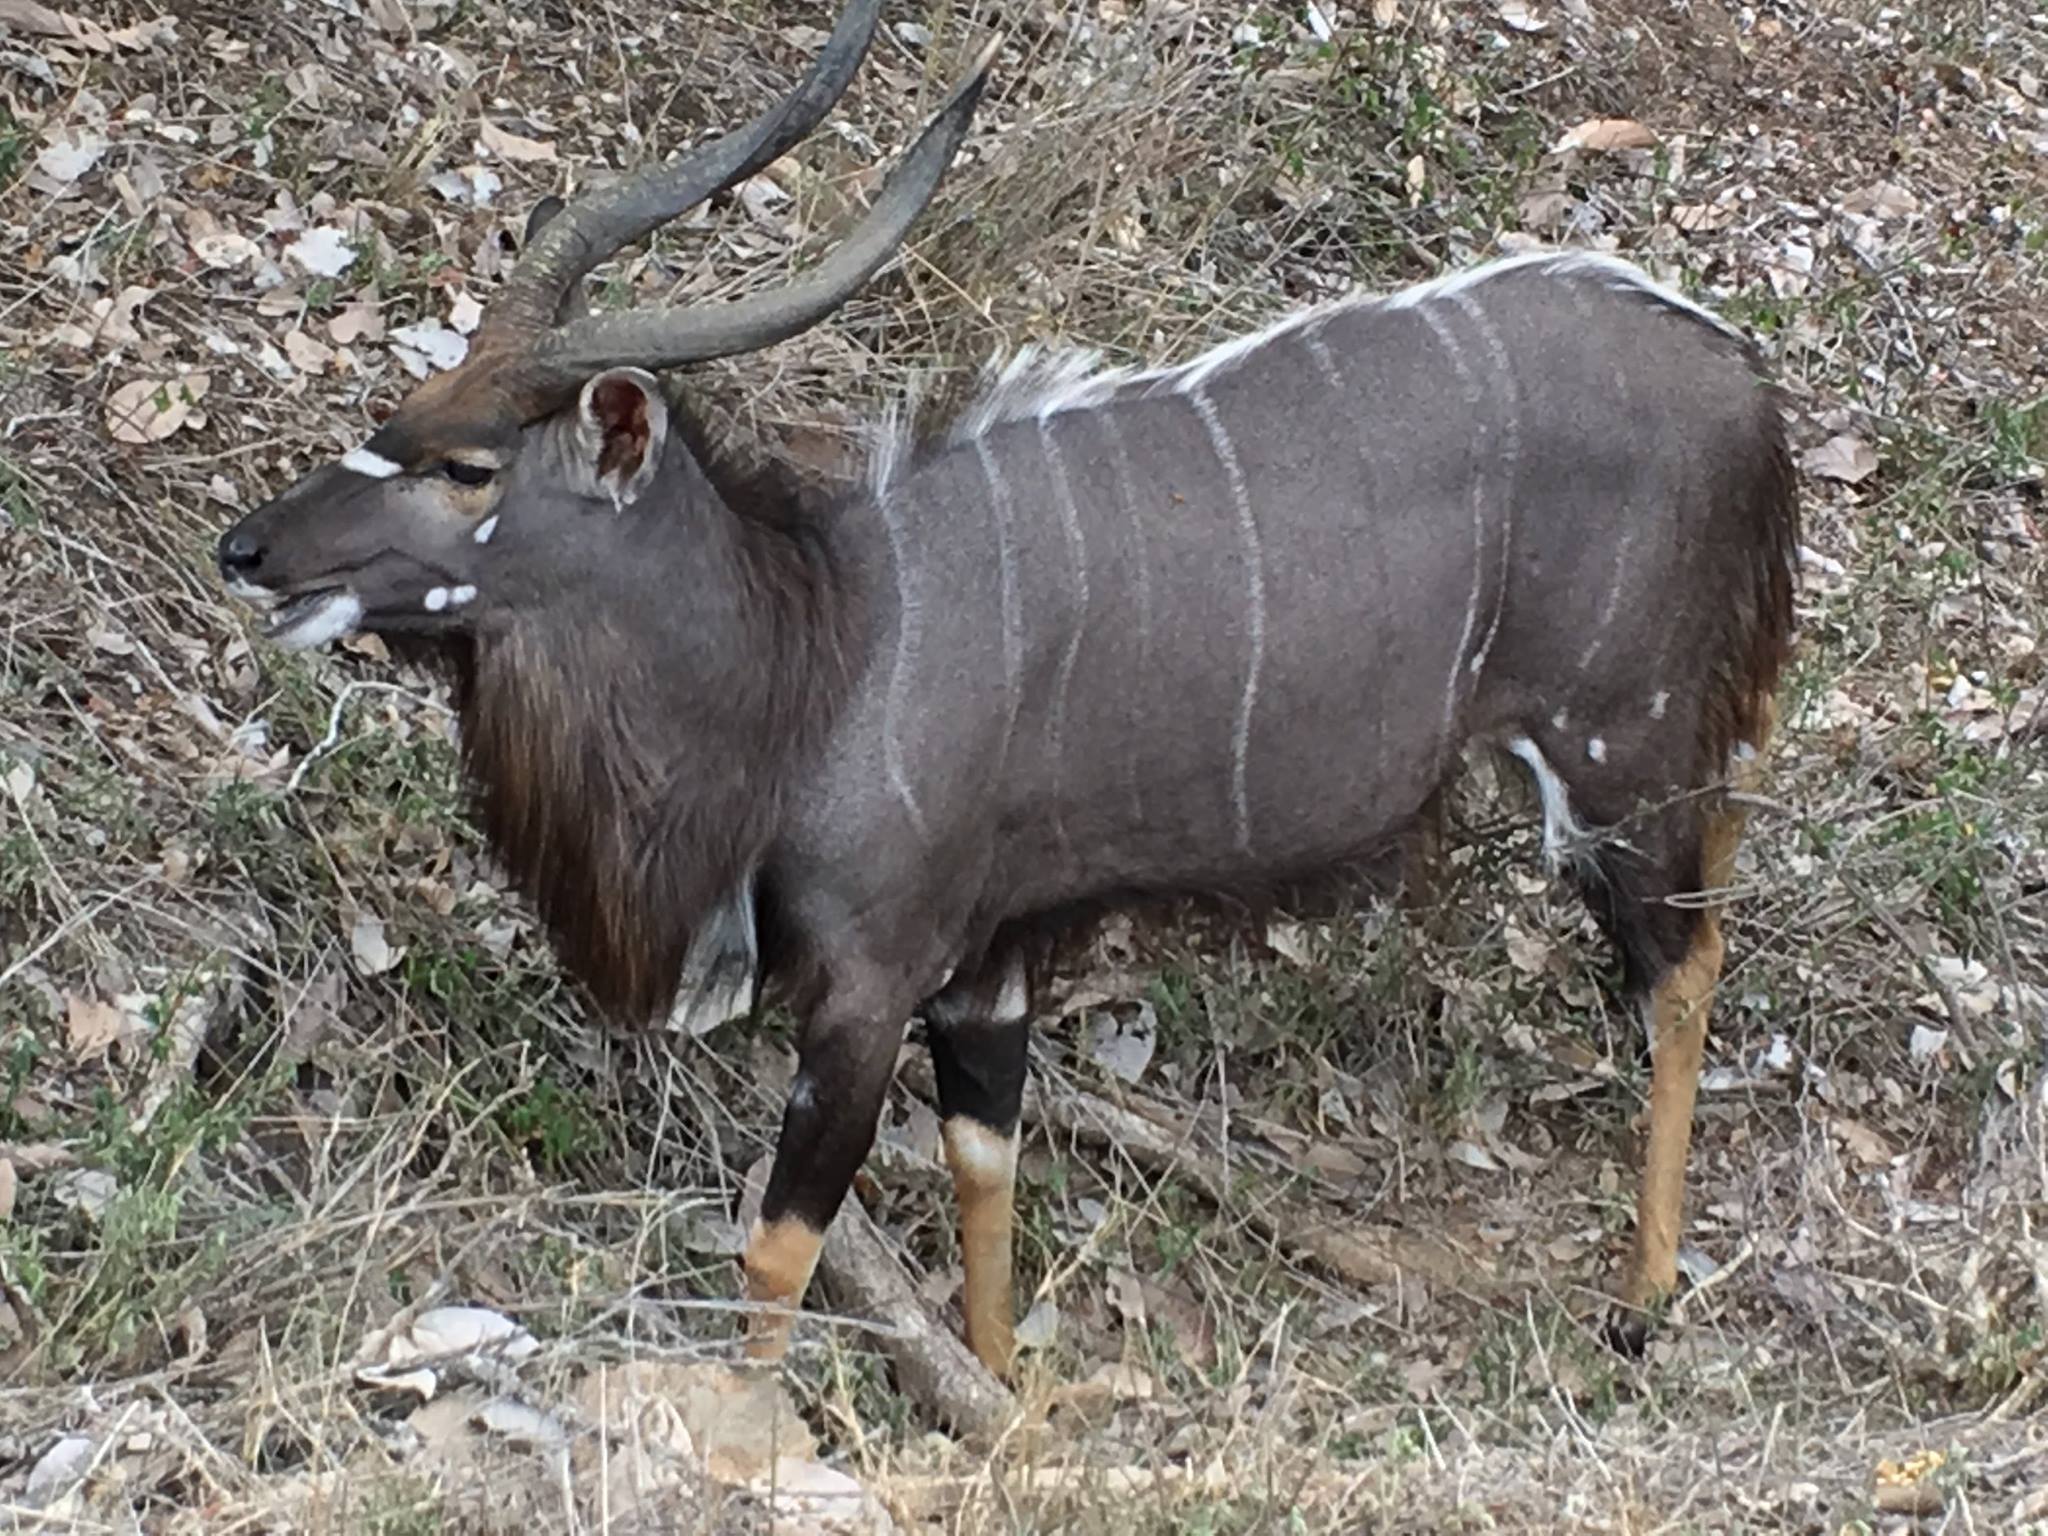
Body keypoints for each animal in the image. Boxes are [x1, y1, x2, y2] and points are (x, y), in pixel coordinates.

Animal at [214, 0, 1797, 1390]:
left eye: (465, 464)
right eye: (396, 417)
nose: (248, 548)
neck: (821, 653)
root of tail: (1743, 378)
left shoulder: (869, 978)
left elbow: (781, 1242)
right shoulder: (987, 964)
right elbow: (988, 1165)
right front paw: (1003, 1397)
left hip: (1620, 754)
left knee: (1688, 963)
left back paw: (1645, 1295)